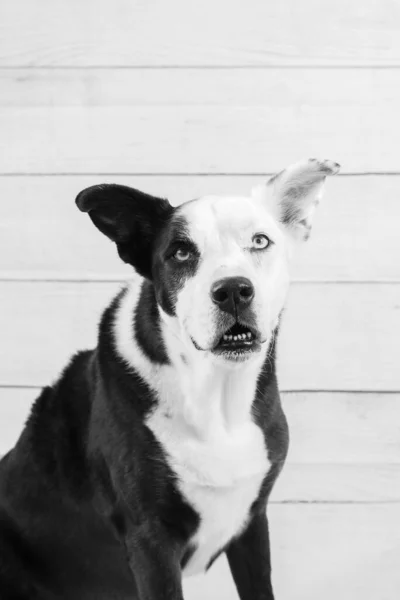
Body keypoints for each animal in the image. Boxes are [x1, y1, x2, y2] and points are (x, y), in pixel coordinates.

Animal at [0, 157, 338, 596]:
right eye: (180, 253)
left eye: (260, 241)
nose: (233, 290)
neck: (215, 396)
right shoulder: (150, 541)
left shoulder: (252, 521)